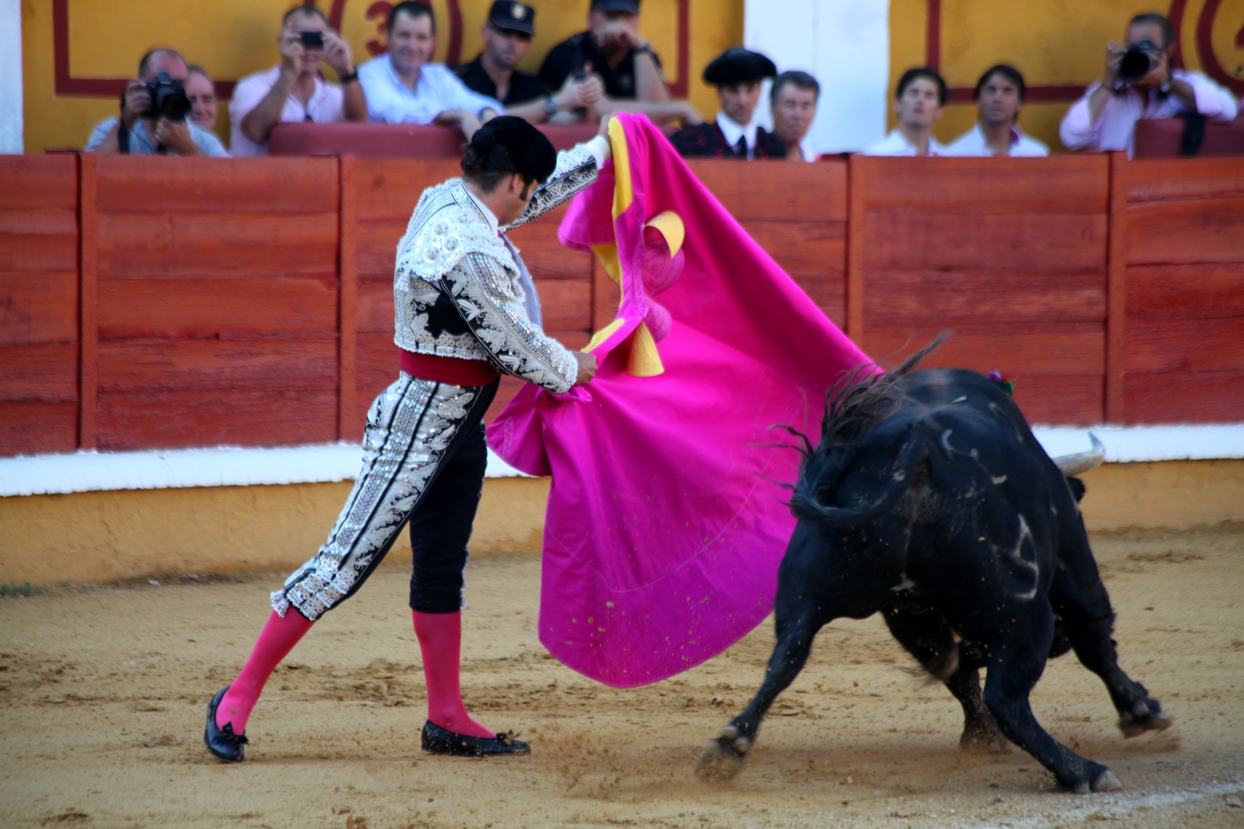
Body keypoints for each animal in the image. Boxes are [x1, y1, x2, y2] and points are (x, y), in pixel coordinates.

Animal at [696, 358, 1169, 791]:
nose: (1059, 645)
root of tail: (915, 452)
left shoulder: (910, 617)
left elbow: (958, 675)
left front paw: (979, 739)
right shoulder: (1074, 561)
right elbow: (1096, 640)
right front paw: (1141, 710)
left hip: (807, 589)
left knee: (786, 658)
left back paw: (729, 748)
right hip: (1025, 614)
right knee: (1009, 698)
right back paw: (1082, 772)